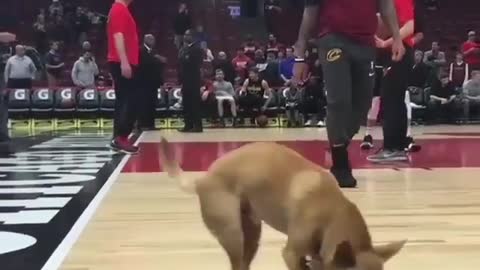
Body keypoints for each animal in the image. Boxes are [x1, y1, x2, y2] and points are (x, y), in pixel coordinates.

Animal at [158, 138, 404, 268]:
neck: (332, 212)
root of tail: (203, 178)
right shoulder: (291, 254)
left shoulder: (314, 257)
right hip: (233, 235)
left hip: (252, 234)